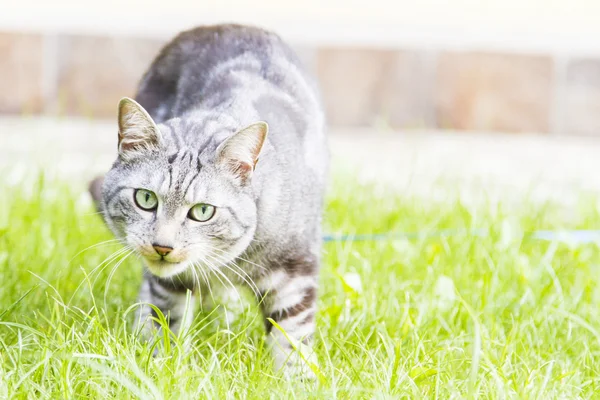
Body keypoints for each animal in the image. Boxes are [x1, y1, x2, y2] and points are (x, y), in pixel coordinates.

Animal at [91, 25, 330, 378]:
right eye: (145, 199)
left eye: (202, 211)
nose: (162, 246)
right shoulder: (170, 285)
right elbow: (167, 322)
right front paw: (161, 367)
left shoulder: (295, 268)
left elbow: (293, 335)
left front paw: (297, 381)